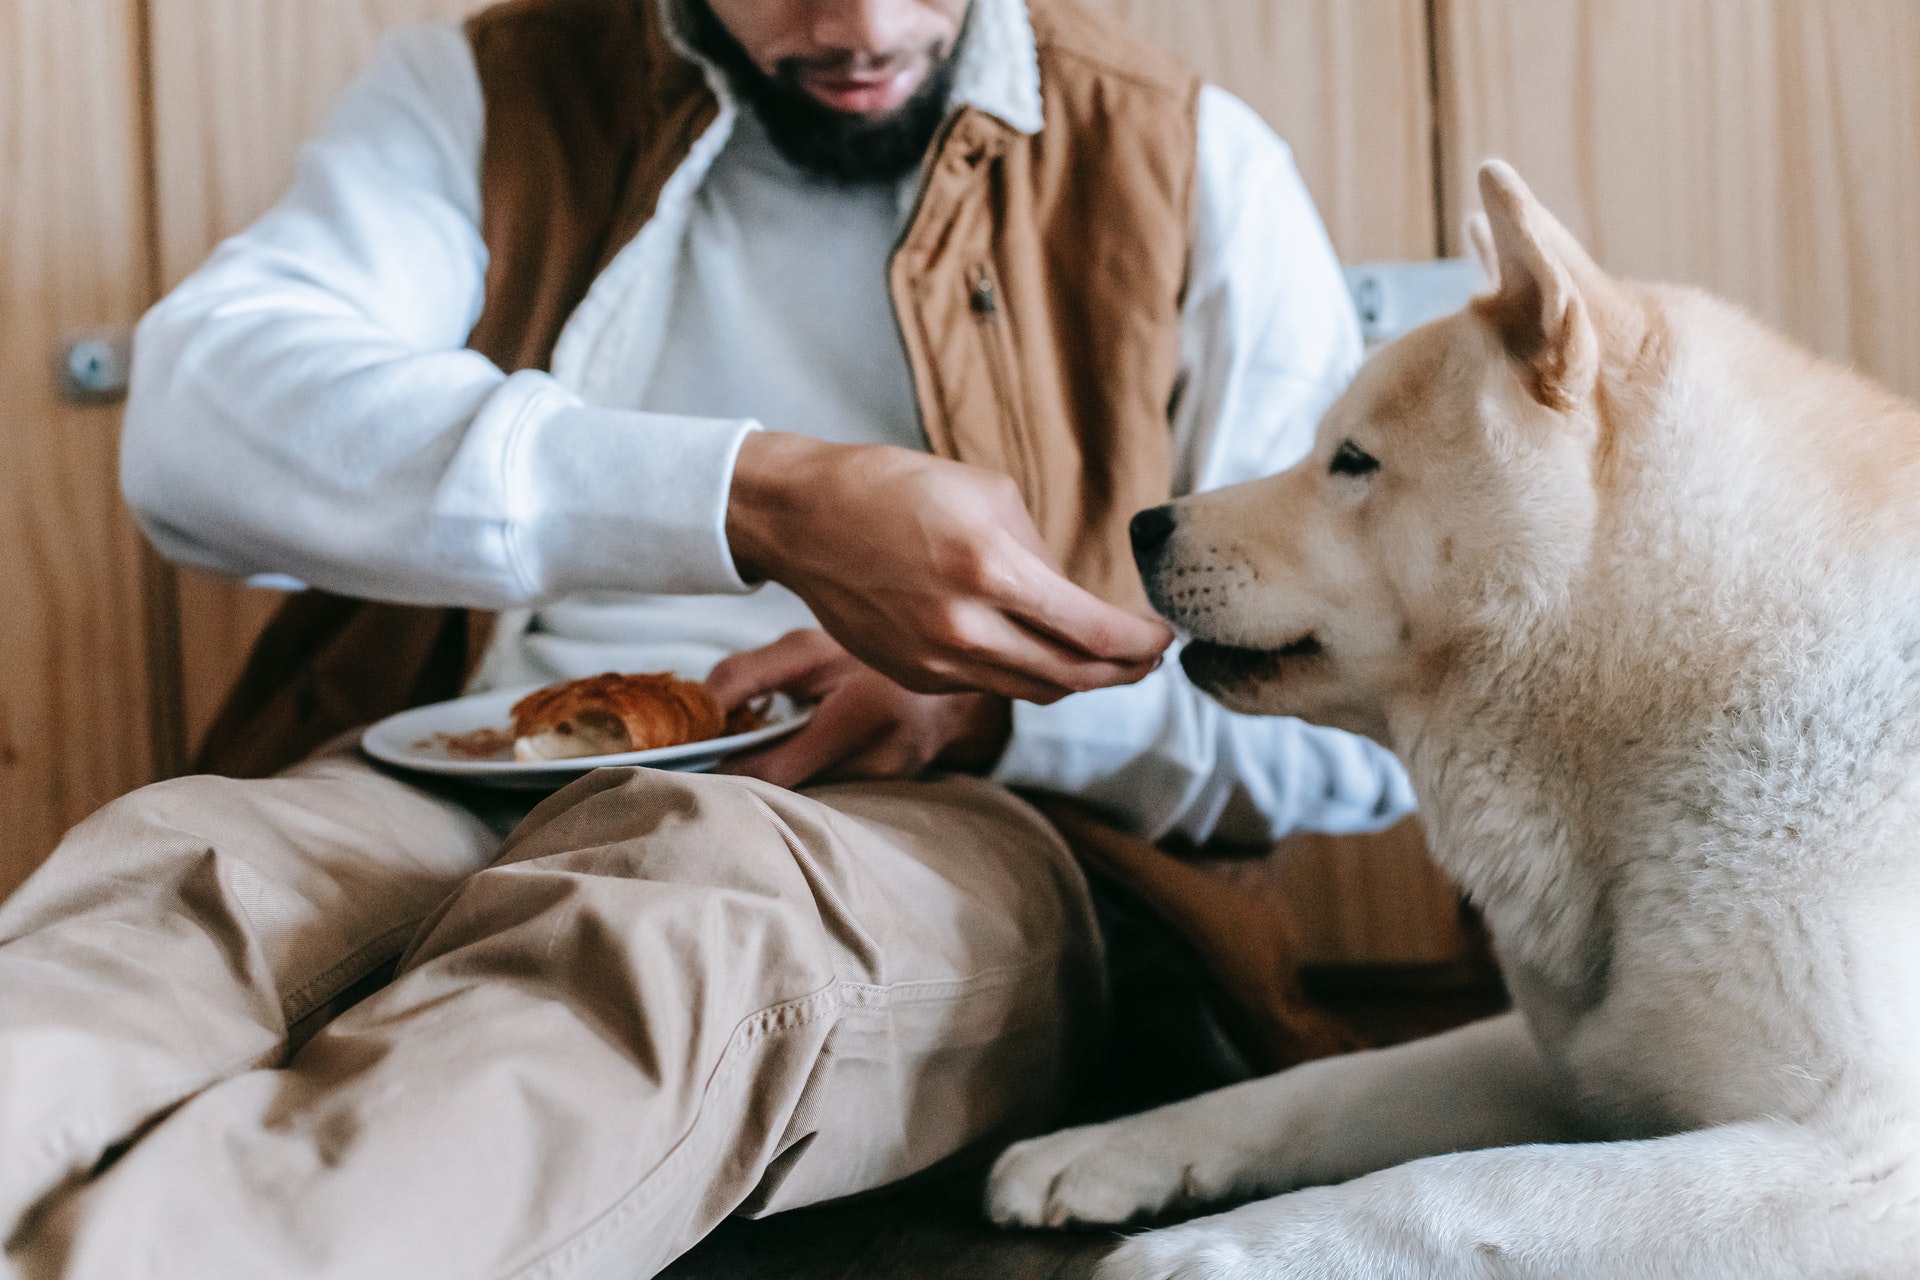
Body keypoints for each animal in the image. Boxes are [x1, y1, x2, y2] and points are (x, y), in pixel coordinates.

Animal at [990, 163, 1920, 1280]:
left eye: (1352, 460)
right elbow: (1316, 1086)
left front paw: (1219, 1250)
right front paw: (1104, 1145)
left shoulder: (1866, 1161)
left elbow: (1463, 1187)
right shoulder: (1569, 1056)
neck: (1700, 664)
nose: (1141, 525)